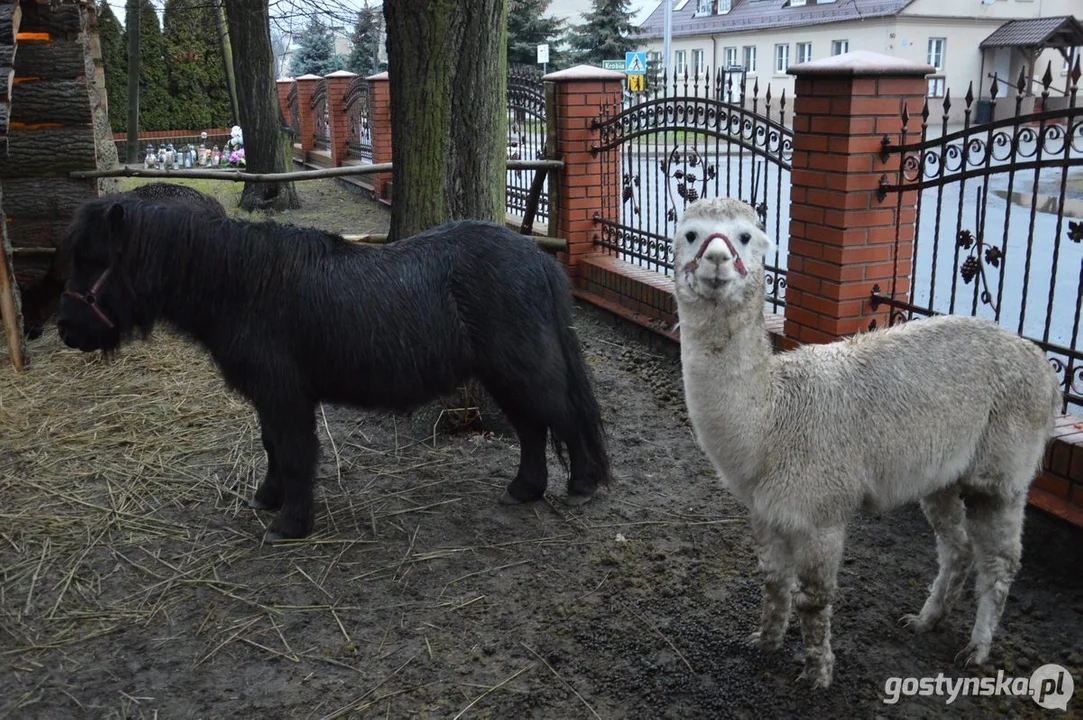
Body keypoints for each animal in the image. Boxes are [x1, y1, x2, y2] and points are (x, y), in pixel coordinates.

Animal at [59, 194, 615, 539]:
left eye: (93, 260)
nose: (66, 331)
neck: (243, 284)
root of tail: (539, 260)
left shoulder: (285, 396)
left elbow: (294, 452)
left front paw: (291, 523)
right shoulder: (271, 397)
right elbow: (272, 447)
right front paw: (269, 497)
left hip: (522, 371)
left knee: (561, 419)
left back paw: (582, 486)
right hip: (503, 376)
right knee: (532, 428)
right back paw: (525, 489)